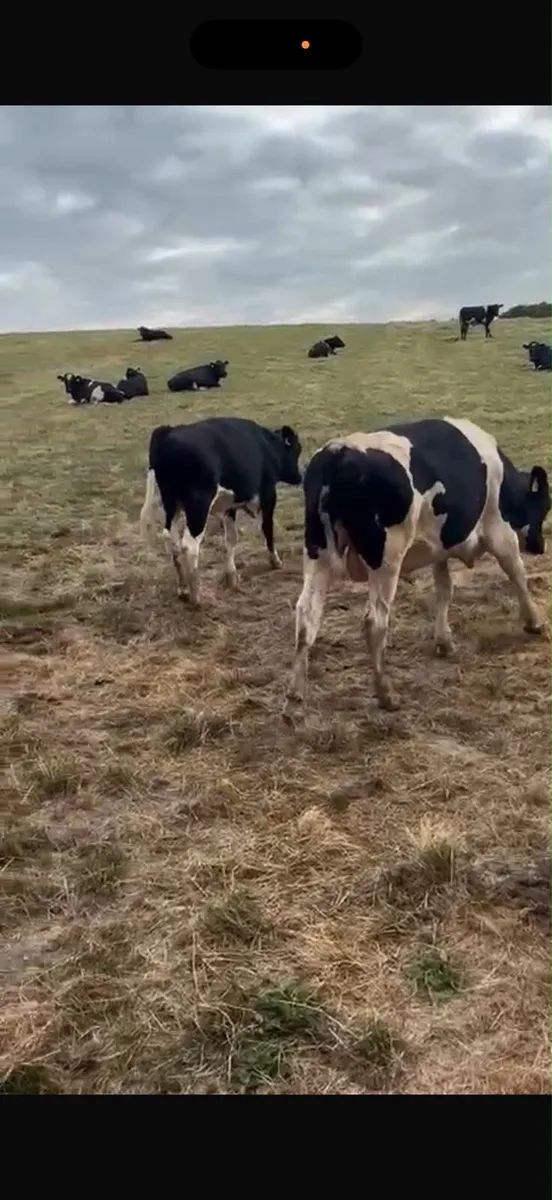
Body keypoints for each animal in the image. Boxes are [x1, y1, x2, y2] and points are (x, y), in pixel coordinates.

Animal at [139, 416, 302, 607]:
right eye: (296, 450)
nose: (300, 477)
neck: (267, 445)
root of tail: (167, 431)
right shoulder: (268, 495)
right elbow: (268, 529)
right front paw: (275, 561)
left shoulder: (229, 507)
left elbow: (231, 539)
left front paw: (231, 577)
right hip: (198, 505)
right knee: (189, 546)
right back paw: (196, 596)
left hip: (171, 503)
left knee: (171, 540)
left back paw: (183, 588)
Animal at [284, 417, 550, 717]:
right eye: (544, 506)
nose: (540, 546)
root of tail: (337, 453)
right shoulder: (500, 532)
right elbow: (517, 574)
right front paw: (534, 622)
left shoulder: (439, 548)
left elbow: (444, 590)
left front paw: (444, 641)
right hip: (386, 560)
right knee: (374, 621)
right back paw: (386, 694)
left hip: (317, 555)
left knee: (306, 615)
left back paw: (295, 693)